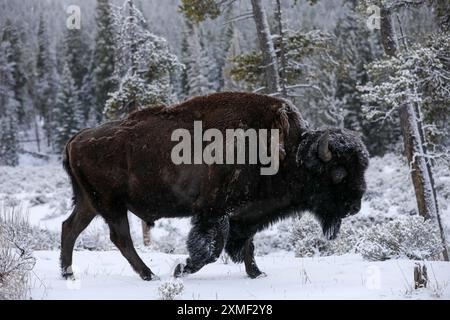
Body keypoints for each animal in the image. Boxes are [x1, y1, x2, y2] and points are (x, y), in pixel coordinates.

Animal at [60, 92, 370, 280]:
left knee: (70, 228)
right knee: (120, 238)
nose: (354, 207)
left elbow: (246, 244)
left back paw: (68, 273)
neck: (289, 152)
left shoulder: (245, 213)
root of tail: (77, 138)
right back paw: (150, 275)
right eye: (339, 172)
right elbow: (211, 247)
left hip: (90, 202)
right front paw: (182, 268)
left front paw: (257, 273)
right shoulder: (215, 212)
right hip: (110, 204)